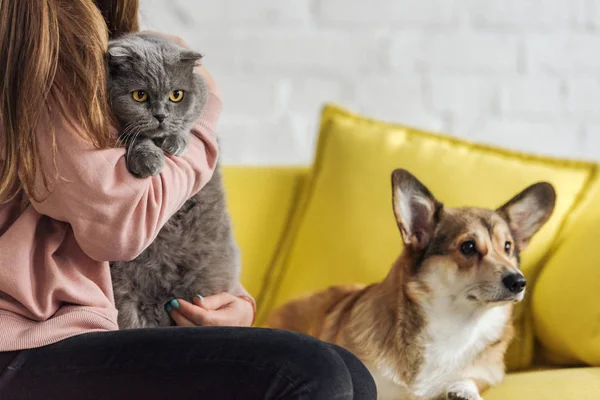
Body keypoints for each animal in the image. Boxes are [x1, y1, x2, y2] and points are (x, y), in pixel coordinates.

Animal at [106, 33, 240, 328]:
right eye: (140, 95)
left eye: (176, 95)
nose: (160, 116)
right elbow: (136, 137)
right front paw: (149, 159)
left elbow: (187, 125)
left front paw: (176, 141)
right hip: (123, 294)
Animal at [268, 170, 556, 400]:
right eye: (468, 247)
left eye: (507, 247)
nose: (519, 282)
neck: (455, 324)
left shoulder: (487, 371)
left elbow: (471, 378)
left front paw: (462, 390)